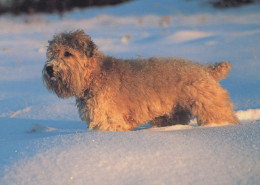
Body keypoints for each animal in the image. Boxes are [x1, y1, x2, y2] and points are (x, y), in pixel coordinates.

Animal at [42, 30, 240, 131]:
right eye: (51, 53)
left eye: (67, 53)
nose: (49, 68)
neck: (93, 75)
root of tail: (206, 69)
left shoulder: (109, 121)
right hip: (170, 116)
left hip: (210, 106)